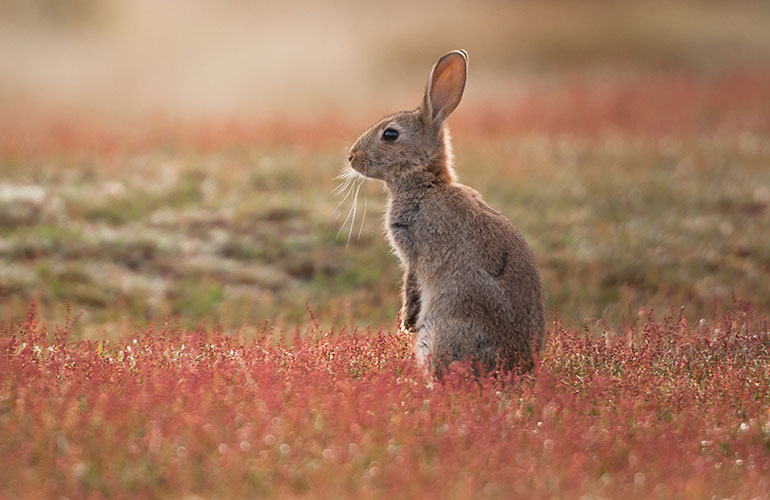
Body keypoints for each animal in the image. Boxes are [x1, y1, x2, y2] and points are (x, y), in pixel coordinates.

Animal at [346, 49, 545, 374]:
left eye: (390, 134)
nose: (352, 157)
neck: (426, 183)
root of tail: (513, 367)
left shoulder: (415, 252)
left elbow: (411, 283)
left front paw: (406, 321)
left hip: (442, 333)